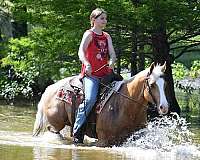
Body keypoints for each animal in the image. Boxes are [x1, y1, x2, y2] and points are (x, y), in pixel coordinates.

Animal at [32, 62, 169, 147]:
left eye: (165, 84)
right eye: (152, 84)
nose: (164, 107)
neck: (126, 106)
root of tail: (49, 89)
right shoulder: (103, 141)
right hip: (55, 125)